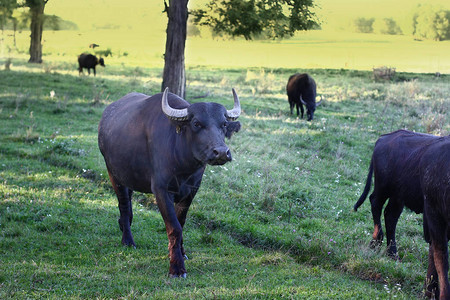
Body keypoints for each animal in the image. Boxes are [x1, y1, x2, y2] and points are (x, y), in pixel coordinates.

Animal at [97, 88, 241, 278]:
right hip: (113, 173)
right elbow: (174, 228)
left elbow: (181, 223)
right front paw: (177, 267)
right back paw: (127, 240)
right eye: (196, 123)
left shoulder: (191, 191)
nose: (222, 152)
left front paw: (181, 252)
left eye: (224, 124)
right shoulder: (161, 191)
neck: (184, 165)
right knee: (124, 205)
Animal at [354, 130, 442, 258]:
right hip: (383, 188)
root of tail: (384, 138)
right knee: (376, 203)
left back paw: (391, 252)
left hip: (398, 196)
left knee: (390, 215)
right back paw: (377, 242)